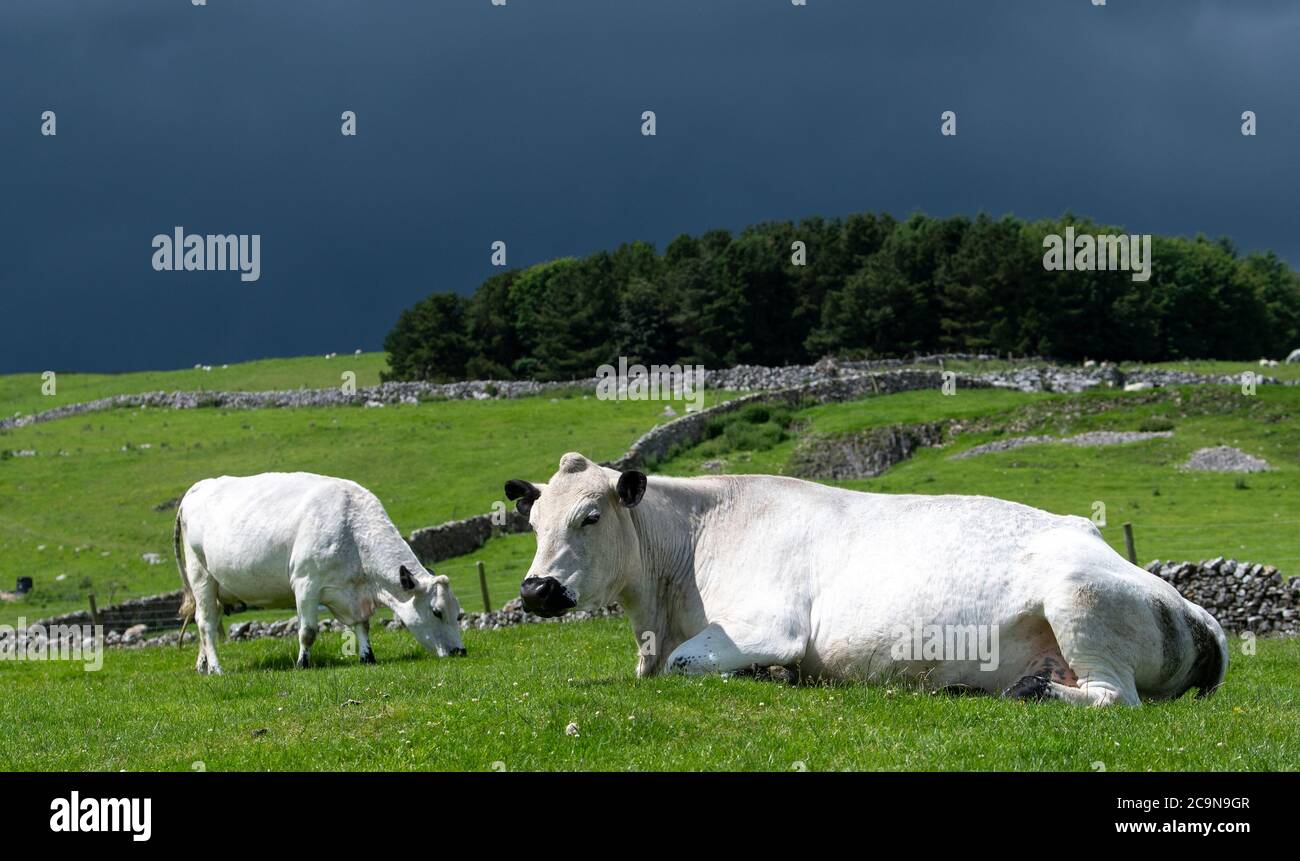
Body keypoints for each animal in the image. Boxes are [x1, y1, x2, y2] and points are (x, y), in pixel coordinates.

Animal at [174, 472, 465, 674]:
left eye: (458, 613)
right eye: (437, 612)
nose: (460, 651)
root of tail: (198, 487)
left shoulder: (354, 593)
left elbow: (363, 625)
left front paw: (367, 657)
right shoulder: (306, 583)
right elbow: (308, 631)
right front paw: (302, 664)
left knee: (207, 623)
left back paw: (202, 665)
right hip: (201, 576)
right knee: (206, 622)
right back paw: (216, 668)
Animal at [506, 452, 1229, 706]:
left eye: (590, 516)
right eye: (532, 519)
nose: (536, 590)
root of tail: (1197, 611)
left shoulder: (769, 627)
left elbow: (691, 661)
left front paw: (765, 676)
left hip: (1080, 597)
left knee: (1115, 697)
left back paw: (1035, 692)